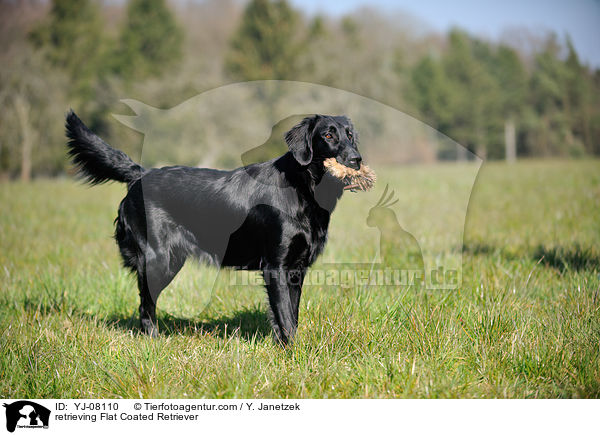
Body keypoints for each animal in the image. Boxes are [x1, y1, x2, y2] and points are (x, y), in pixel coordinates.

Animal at [68, 110, 364, 346]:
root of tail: (140, 173)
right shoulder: (276, 266)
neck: (302, 187)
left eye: (350, 135)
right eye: (328, 135)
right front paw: (293, 353)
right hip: (159, 259)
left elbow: (293, 313)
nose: (356, 159)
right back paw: (154, 342)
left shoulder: (297, 269)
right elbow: (286, 317)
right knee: (145, 306)